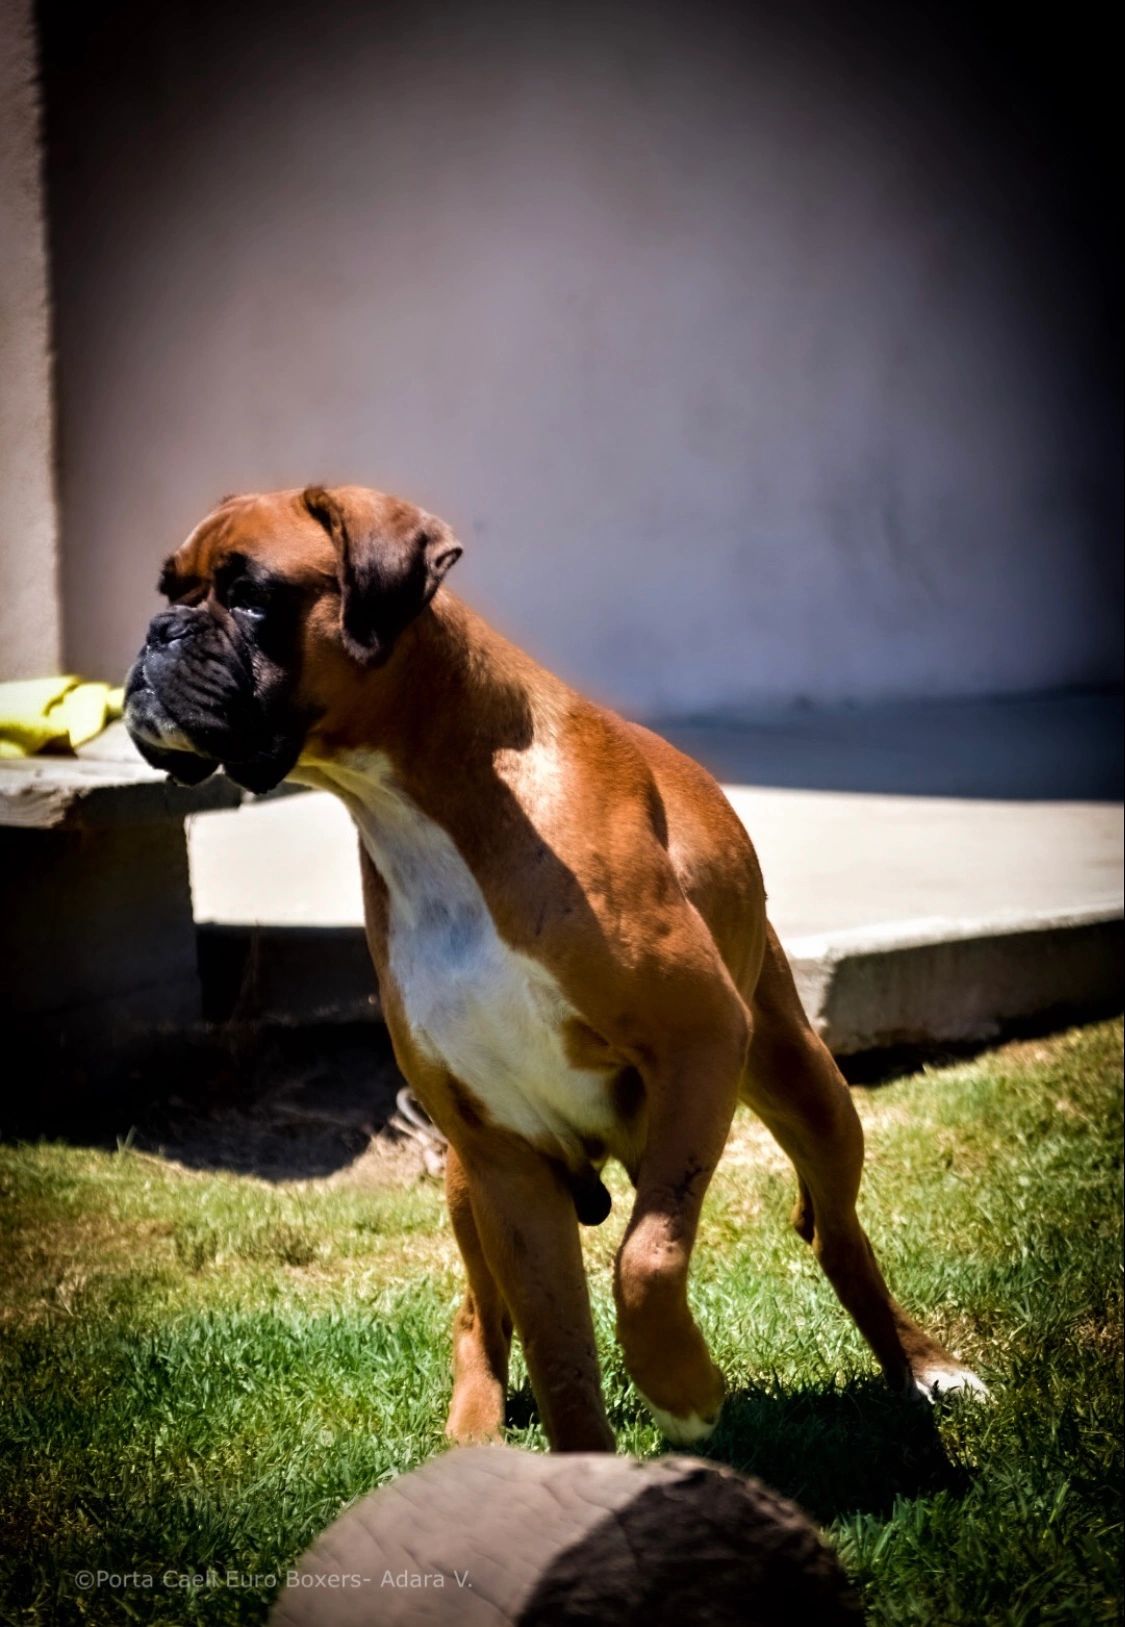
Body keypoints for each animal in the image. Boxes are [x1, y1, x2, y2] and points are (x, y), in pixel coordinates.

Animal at [125, 481, 983, 1451]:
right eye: (170, 589)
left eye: (248, 594)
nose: (156, 633)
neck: (423, 807)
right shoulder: (503, 1158)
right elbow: (559, 1351)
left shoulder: (696, 1046)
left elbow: (646, 1259)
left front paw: (681, 1386)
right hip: (465, 1182)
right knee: (476, 1311)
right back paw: (473, 1433)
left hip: (811, 1092)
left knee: (835, 1233)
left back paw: (924, 1367)